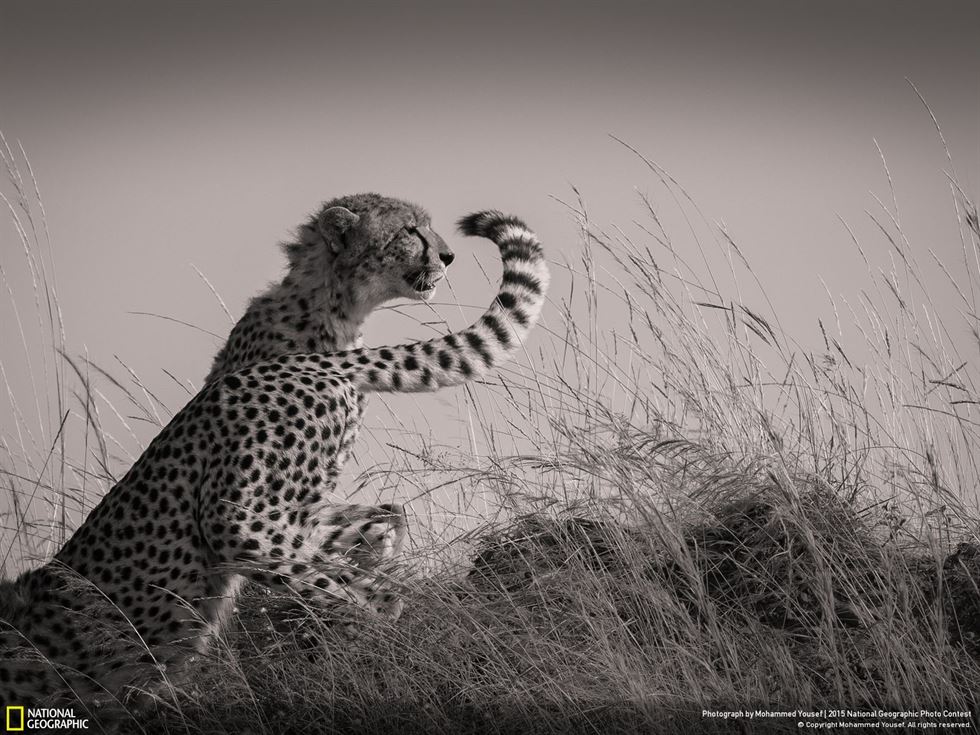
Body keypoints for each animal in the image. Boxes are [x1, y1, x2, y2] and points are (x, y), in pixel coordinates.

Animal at [0, 201, 552, 708]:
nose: (448, 255)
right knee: (371, 548)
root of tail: (309, 364)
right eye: (409, 231)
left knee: (366, 590)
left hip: (234, 520)